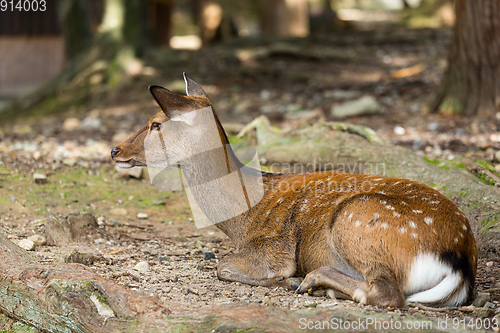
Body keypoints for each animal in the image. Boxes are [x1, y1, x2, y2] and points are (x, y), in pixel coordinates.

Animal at [112, 74, 476, 308]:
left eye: (156, 123)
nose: (115, 150)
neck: (242, 218)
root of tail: (459, 261)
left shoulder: (273, 246)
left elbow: (223, 266)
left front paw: (283, 280)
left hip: (358, 220)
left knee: (387, 293)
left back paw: (311, 281)